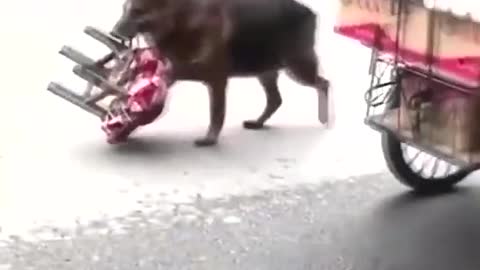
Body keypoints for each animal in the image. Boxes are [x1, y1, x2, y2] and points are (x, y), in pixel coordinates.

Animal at [111, 0, 332, 147]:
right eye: (124, 9)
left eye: (137, 11)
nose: (114, 33)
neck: (181, 18)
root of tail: (311, 12)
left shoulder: (215, 77)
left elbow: (216, 112)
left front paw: (210, 138)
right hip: (265, 71)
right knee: (275, 100)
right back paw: (258, 122)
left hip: (298, 67)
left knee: (323, 83)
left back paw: (324, 118)